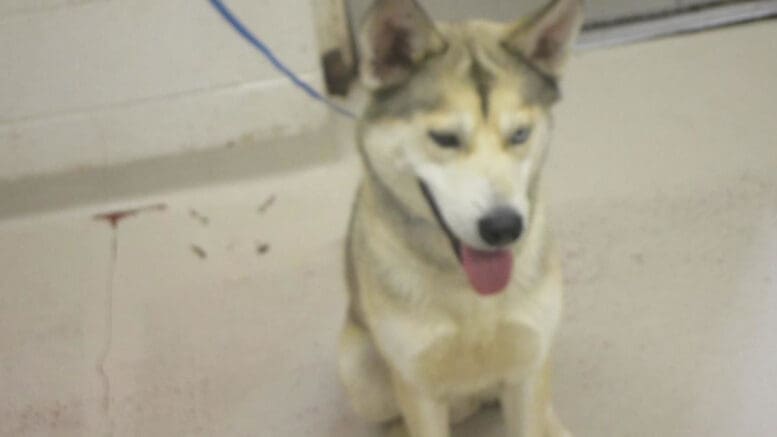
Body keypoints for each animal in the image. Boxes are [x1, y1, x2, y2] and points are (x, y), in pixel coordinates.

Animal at [340, 1, 584, 434]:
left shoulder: (527, 368)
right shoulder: (418, 388)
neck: (471, 297)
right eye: (444, 138)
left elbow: (531, 411)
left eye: (519, 134)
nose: (504, 227)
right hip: (357, 368)